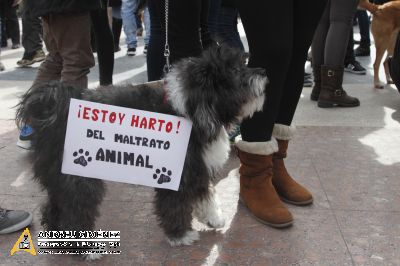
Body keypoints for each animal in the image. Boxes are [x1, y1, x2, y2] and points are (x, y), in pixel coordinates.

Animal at [15, 46, 268, 256]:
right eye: (235, 71)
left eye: (243, 64)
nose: (264, 72)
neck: (194, 108)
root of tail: (53, 105)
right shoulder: (178, 171)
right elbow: (174, 203)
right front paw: (179, 234)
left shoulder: (198, 168)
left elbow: (206, 194)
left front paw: (213, 218)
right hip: (79, 176)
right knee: (76, 209)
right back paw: (85, 249)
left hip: (59, 175)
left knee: (56, 204)